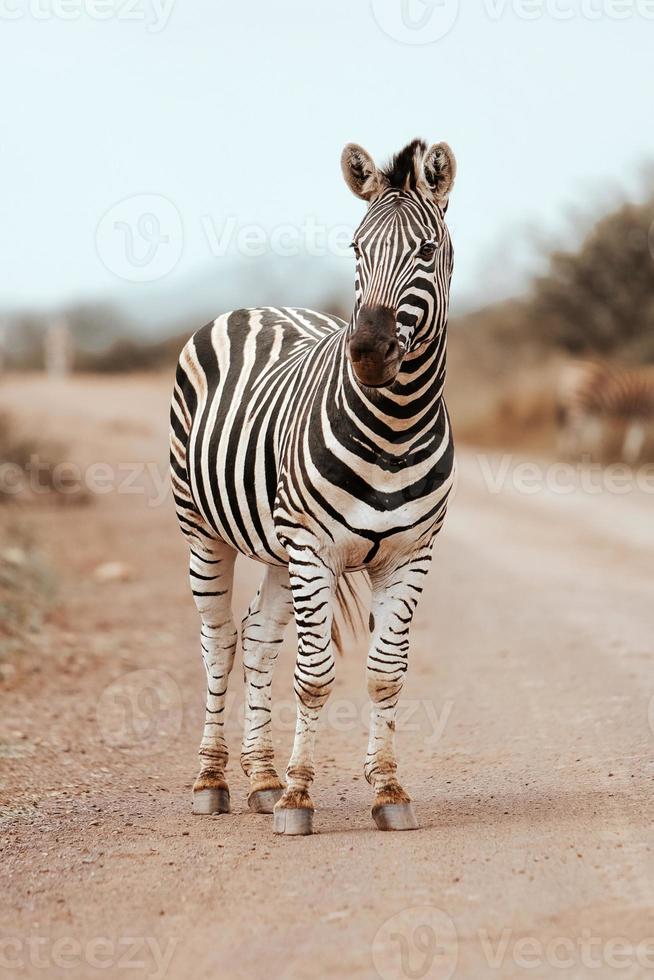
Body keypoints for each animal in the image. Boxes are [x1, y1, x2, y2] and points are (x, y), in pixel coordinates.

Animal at [169, 138, 458, 836]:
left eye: (426, 252)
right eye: (355, 248)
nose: (369, 353)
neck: (394, 427)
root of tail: (257, 306)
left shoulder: (411, 555)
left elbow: (385, 673)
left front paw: (387, 789)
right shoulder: (313, 548)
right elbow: (315, 674)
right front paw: (301, 797)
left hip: (279, 549)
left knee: (257, 640)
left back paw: (262, 779)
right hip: (205, 531)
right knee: (219, 642)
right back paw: (214, 780)